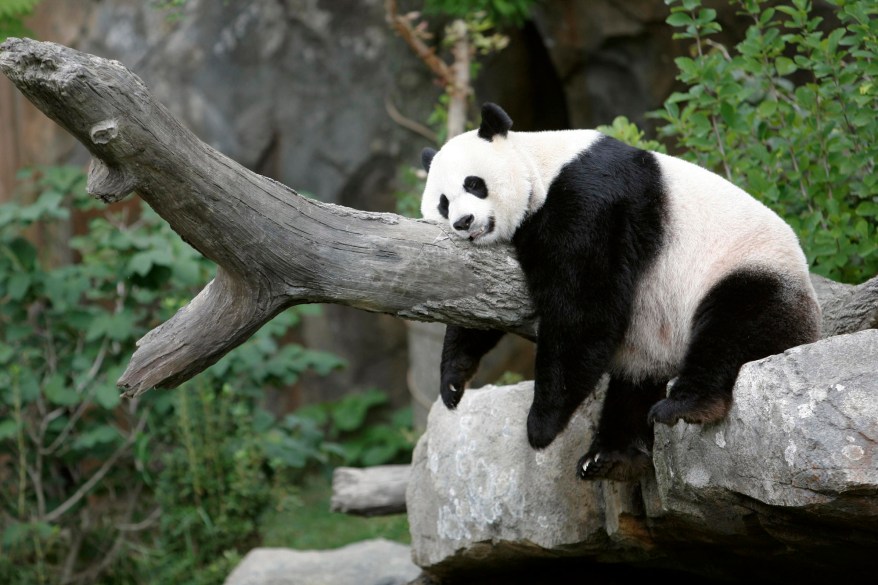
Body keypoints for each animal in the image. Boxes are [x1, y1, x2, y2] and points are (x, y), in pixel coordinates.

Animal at [420, 102, 824, 482]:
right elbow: (480, 301)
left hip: (748, 270)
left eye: (474, 184)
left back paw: (686, 405)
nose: (464, 222)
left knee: (734, 326)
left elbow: (584, 308)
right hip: (654, 341)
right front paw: (453, 381)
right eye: (443, 202)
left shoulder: (590, 200)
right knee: (635, 384)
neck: (542, 165)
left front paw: (541, 425)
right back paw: (611, 455)